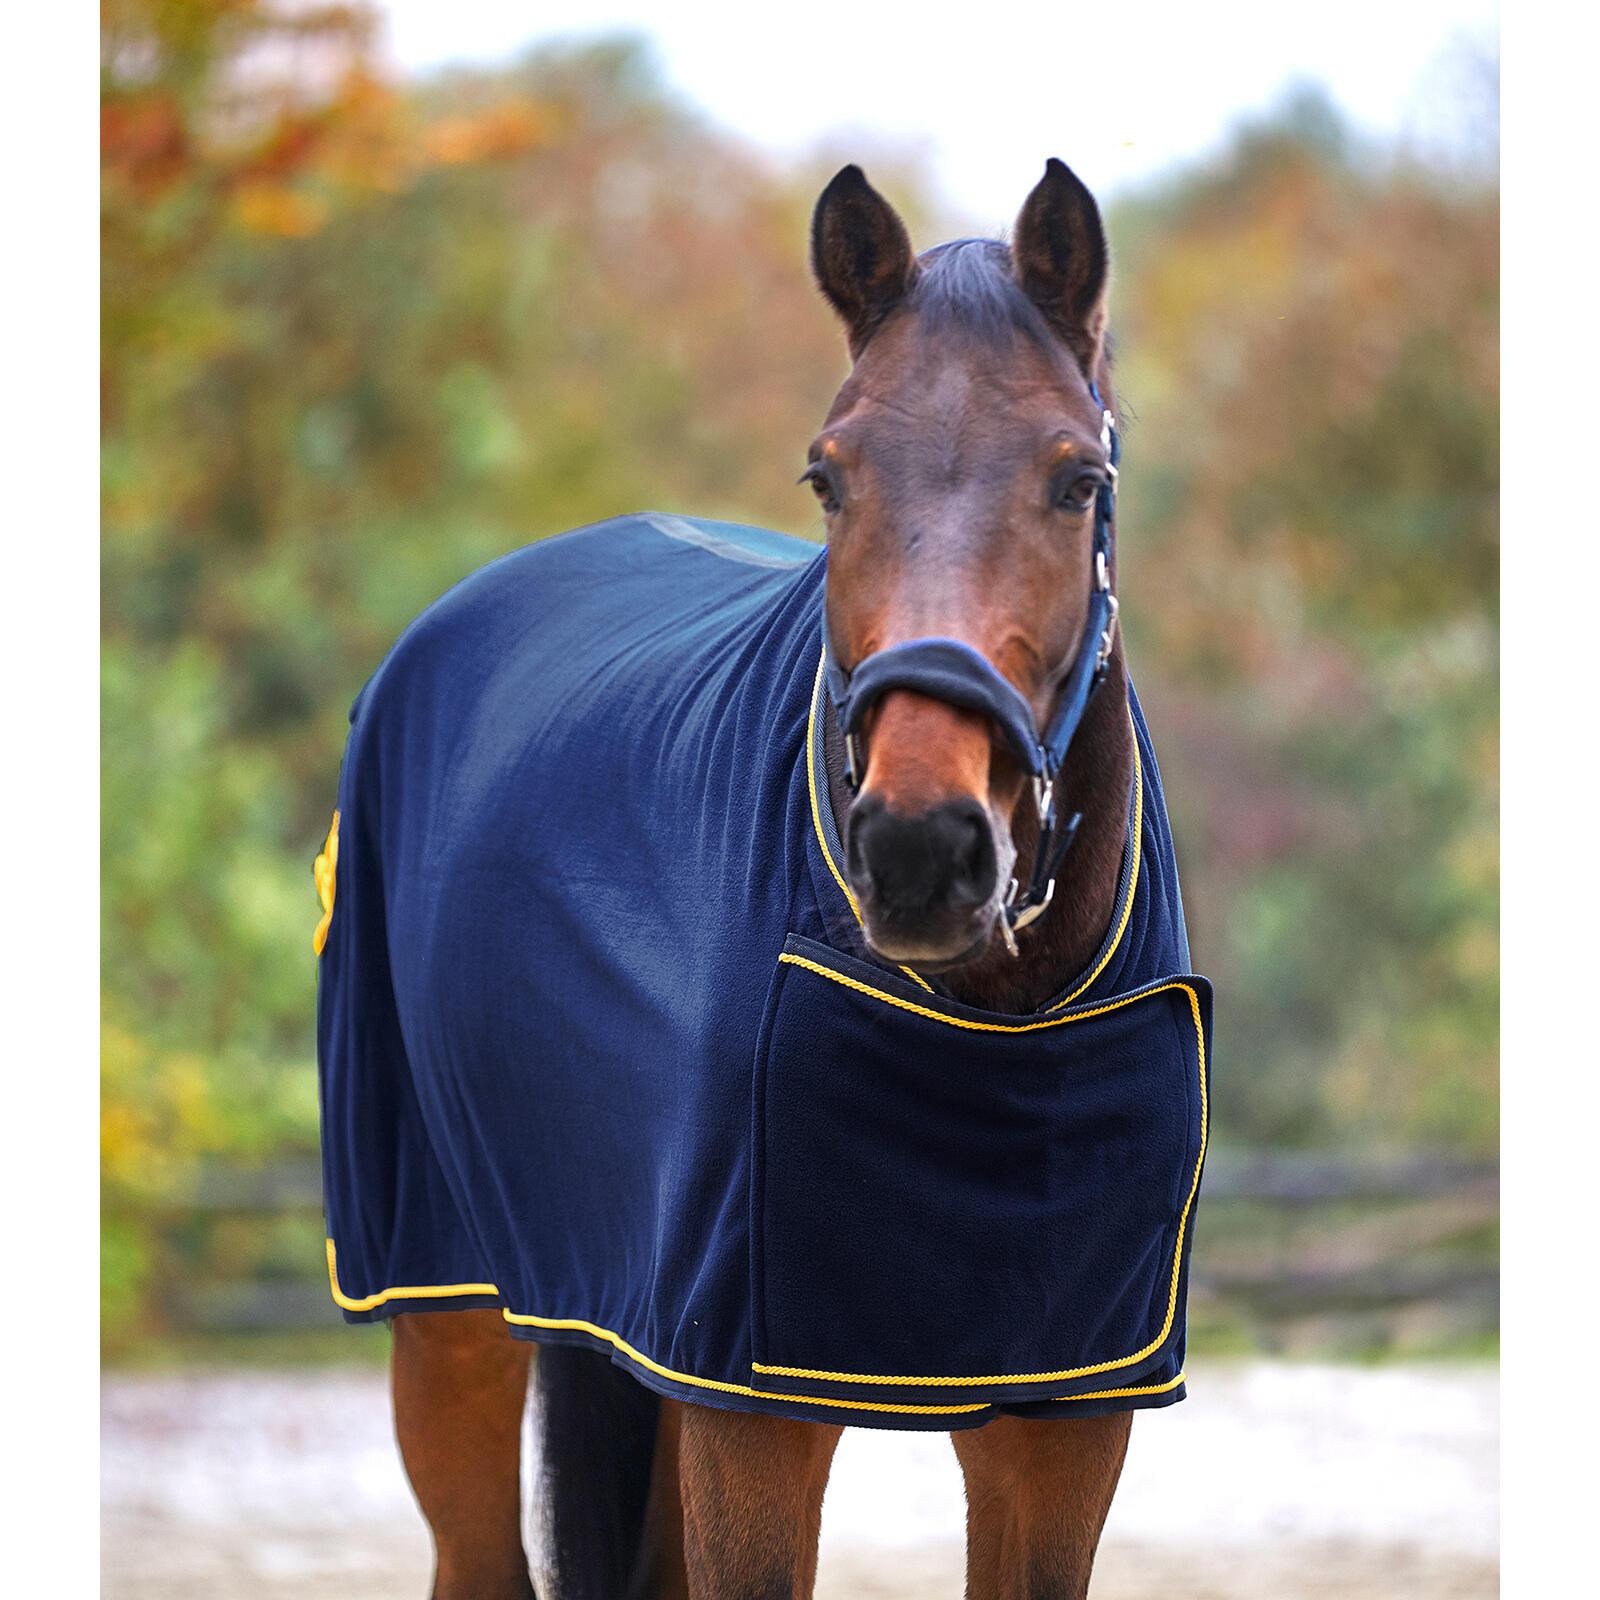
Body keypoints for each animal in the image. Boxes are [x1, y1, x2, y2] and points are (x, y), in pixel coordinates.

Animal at [314, 159, 1211, 1599]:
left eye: (1077, 480)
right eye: (827, 478)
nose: (919, 849)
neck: (997, 1020)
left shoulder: (1066, 1421)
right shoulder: (754, 1415)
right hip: (450, 1309)